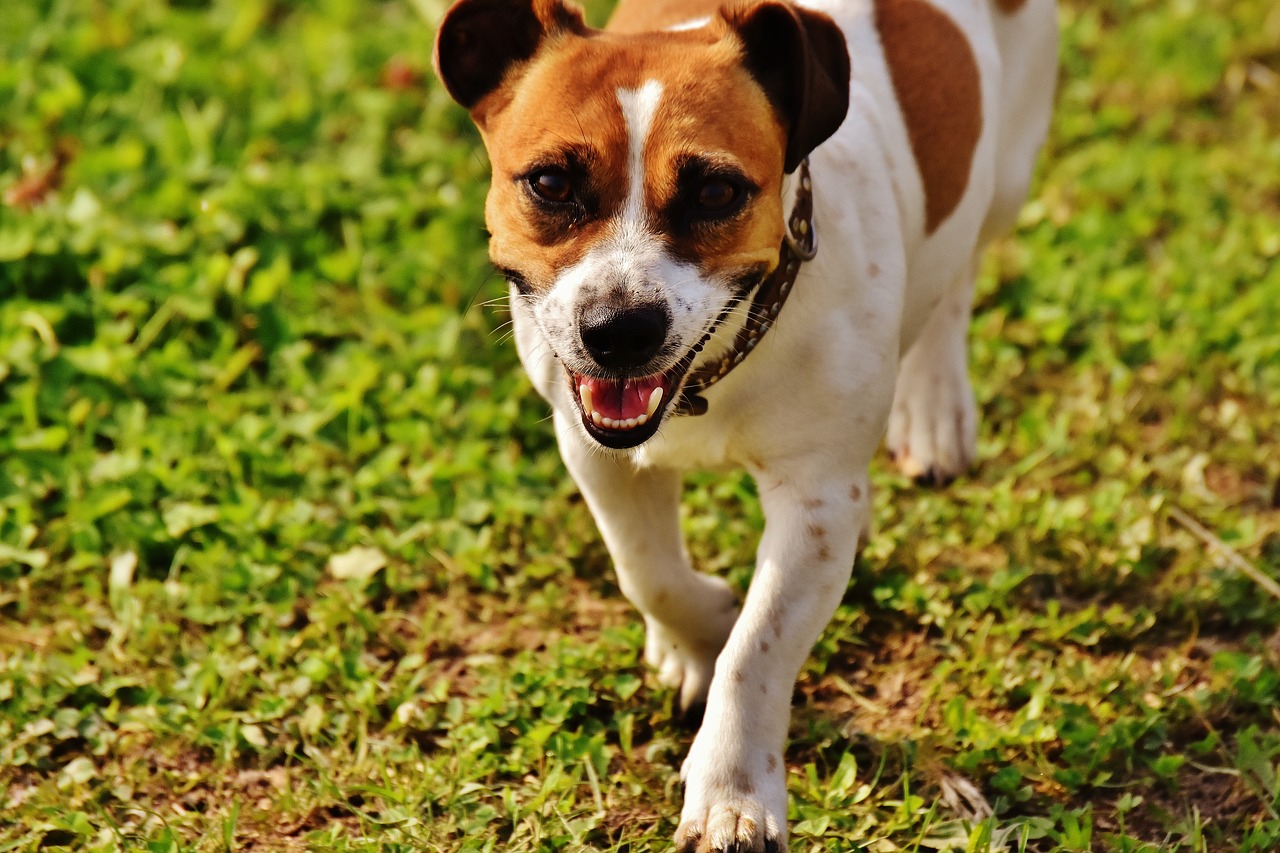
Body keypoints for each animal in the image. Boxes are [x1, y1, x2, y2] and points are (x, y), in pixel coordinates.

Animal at [435, 0, 1054, 845]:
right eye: (551, 183)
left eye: (717, 193)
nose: (619, 329)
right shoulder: (591, 446)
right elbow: (647, 570)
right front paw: (693, 633)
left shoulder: (817, 499)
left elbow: (757, 649)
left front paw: (732, 791)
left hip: (1007, 172)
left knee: (958, 271)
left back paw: (935, 406)